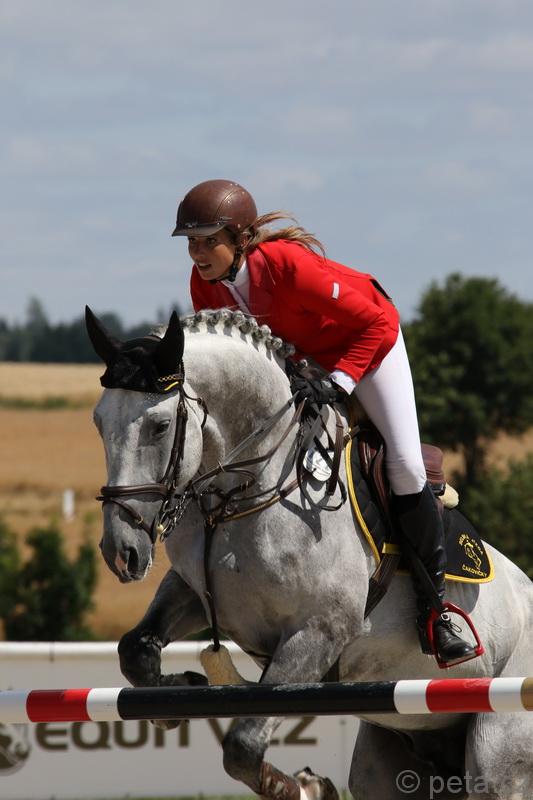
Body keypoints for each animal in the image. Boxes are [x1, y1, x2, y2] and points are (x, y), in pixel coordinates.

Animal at [86, 305, 533, 800]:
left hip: (497, 753)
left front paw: (307, 787)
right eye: (99, 422)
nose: (121, 551)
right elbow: (134, 650)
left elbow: (242, 746)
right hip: (391, 758)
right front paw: (178, 692)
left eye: (160, 426)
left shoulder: (318, 633)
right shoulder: (195, 592)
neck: (249, 489)